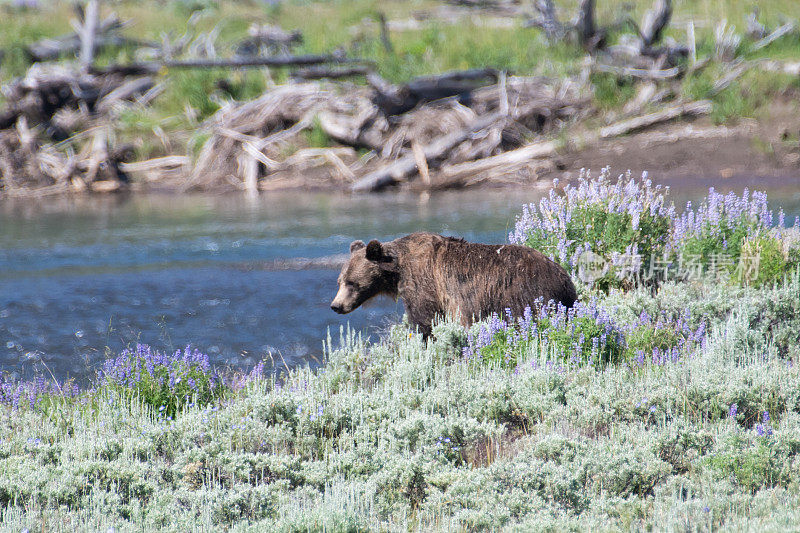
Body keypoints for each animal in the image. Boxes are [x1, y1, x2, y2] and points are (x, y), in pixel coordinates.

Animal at [328, 231, 580, 334]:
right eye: (339, 281)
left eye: (352, 283)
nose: (336, 306)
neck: (398, 270)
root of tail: (565, 278)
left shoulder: (424, 284)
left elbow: (426, 320)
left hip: (521, 294)